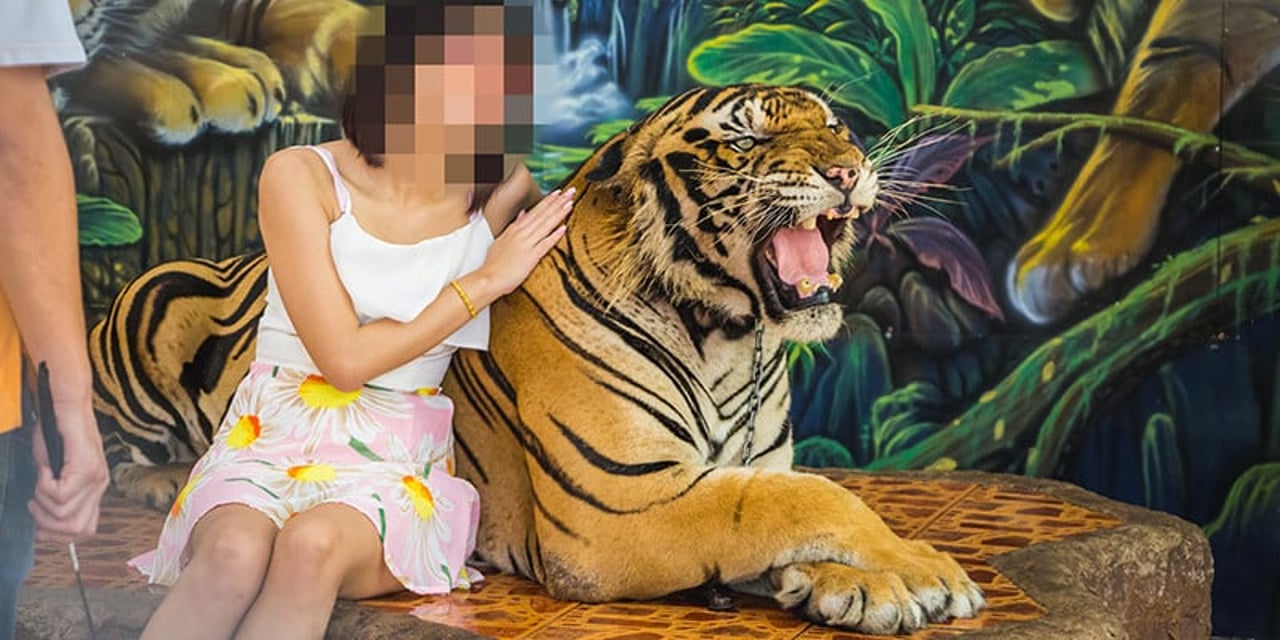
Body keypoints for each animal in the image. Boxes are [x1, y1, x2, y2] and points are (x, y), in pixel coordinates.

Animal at [92, 86, 988, 634]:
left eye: (835, 127)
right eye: (748, 133)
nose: (848, 168)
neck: (731, 338)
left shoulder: (731, 468)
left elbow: (796, 503)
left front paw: (864, 582)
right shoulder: (620, 506)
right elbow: (809, 500)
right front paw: (922, 570)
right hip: (153, 296)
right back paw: (164, 479)